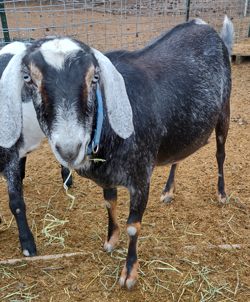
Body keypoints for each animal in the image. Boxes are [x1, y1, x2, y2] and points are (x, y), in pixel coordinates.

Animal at [9, 17, 232, 290]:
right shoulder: (108, 175)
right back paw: (168, 191)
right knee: (178, 155)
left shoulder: (141, 176)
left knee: (220, 154)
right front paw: (110, 240)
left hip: (224, 111)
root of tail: (202, 24)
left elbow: (133, 227)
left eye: (94, 77)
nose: (69, 147)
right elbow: (109, 203)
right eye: (28, 77)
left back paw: (221, 194)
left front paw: (129, 273)